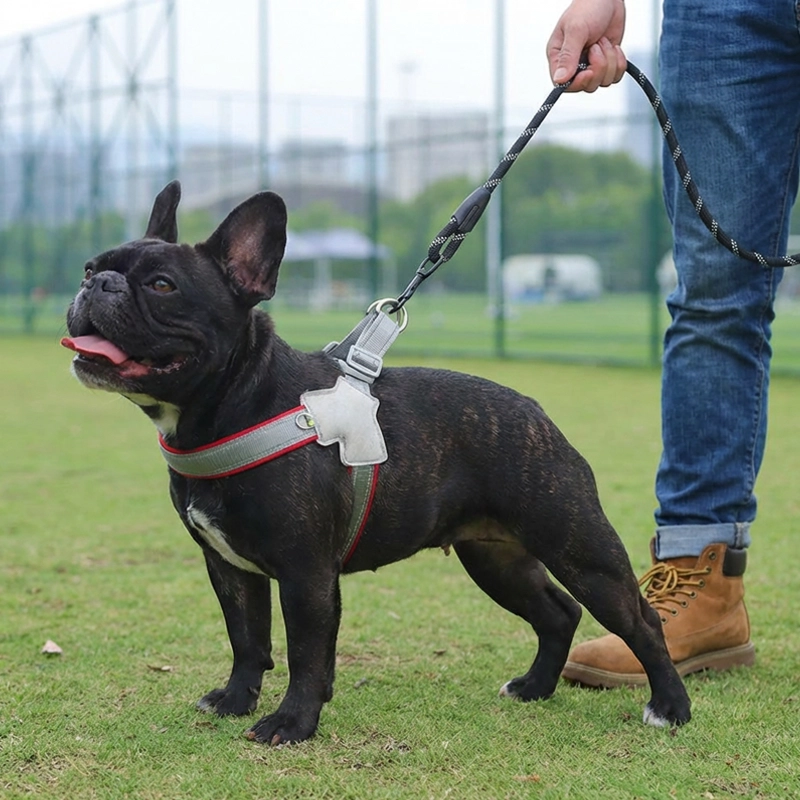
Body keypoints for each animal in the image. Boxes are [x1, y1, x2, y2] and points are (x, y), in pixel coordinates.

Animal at [62, 181, 691, 746]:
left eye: (161, 285)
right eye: (89, 267)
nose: (96, 282)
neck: (235, 403)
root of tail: (538, 413)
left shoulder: (306, 574)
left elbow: (305, 654)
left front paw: (292, 724)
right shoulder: (229, 567)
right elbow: (247, 640)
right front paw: (235, 700)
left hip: (578, 545)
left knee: (640, 621)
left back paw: (670, 708)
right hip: (494, 558)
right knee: (557, 613)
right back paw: (535, 687)